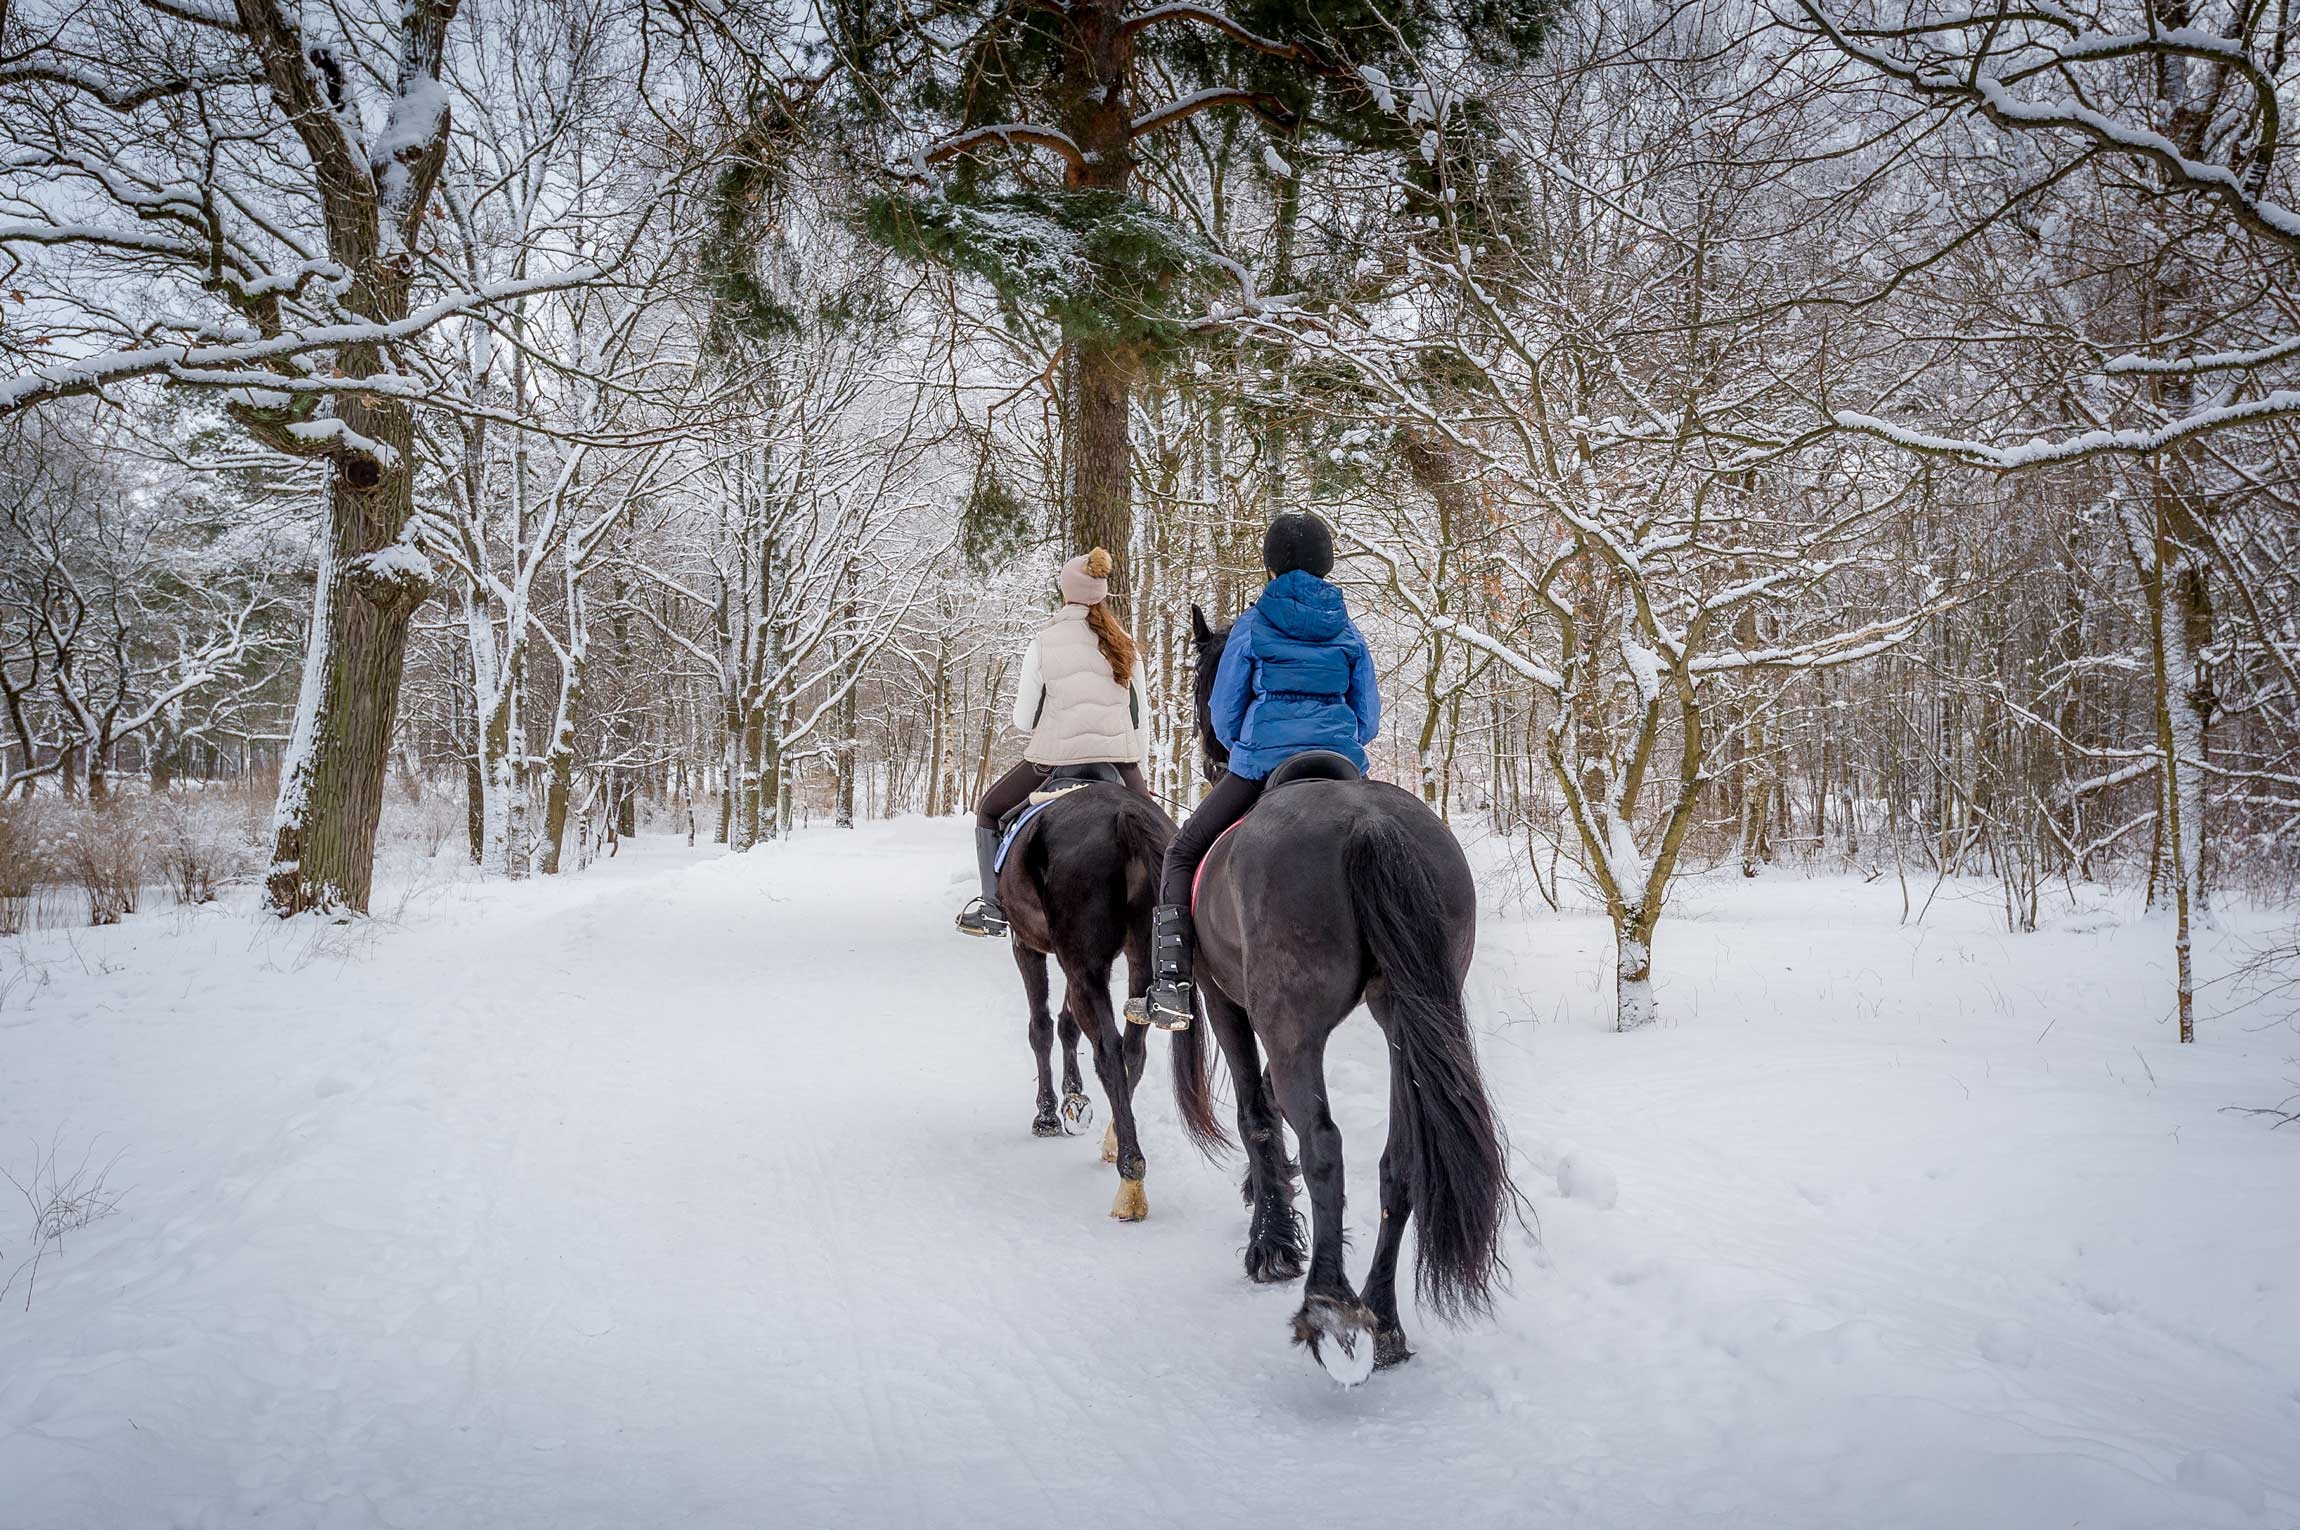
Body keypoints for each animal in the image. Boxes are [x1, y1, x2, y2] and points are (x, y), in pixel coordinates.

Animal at [998, 777, 1177, 1214]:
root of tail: (1123, 815)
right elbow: (1068, 1026)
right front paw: (1073, 1099)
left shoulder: (1027, 946)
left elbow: (1042, 1028)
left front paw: (1048, 1114)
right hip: (1137, 961)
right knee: (1132, 1049)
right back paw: (1114, 1142)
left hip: (1084, 964)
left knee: (1108, 1049)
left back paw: (1131, 1176)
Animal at [1168, 607, 1527, 1380]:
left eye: (1205, 679)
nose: (1211, 753)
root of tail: (1369, 822)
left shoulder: (1225, 1000)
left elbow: (1257, 1114)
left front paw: (1271, 1243)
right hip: (1406, 1019)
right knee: (1402, 1162)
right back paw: (1383, 1319)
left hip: (1291, 1023)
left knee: (1325, 1142)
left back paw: (1327, 1304)